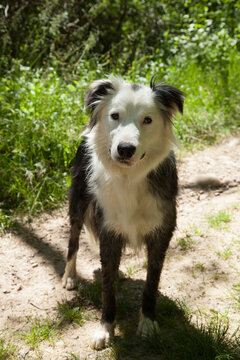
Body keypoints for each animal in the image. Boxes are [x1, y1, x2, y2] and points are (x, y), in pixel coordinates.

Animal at [62, 76, 184, 348]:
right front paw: (105, 328)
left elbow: (151, 284)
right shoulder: (108, 230)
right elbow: (108, 288)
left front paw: (147, 323)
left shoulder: (162, 232)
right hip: (78, 202)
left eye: (148, 120)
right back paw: (69, 276)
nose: (125, 148)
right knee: (73, 240)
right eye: (115, 116)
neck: (130, 177)